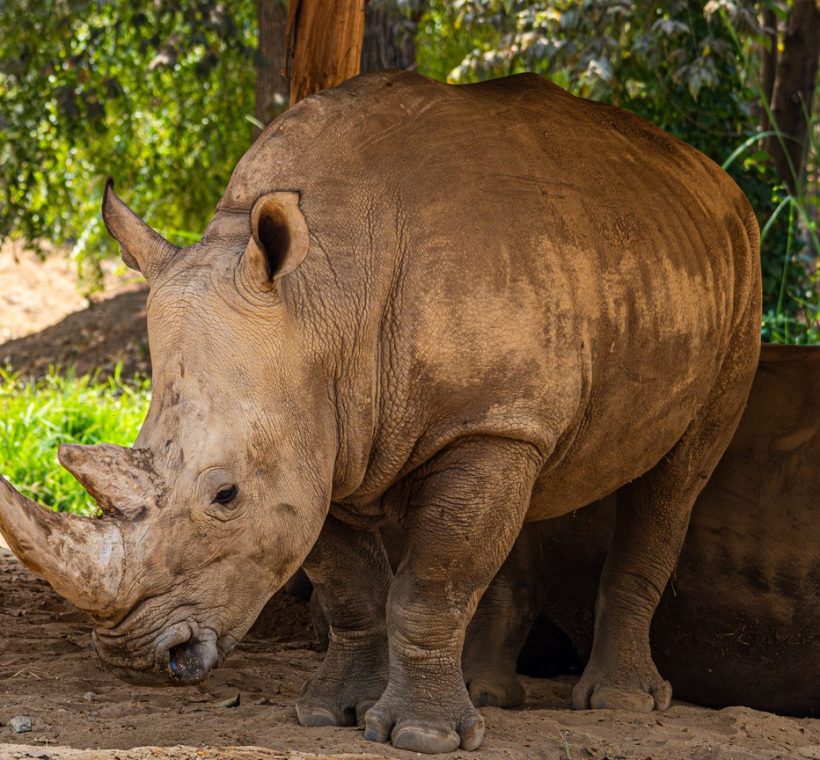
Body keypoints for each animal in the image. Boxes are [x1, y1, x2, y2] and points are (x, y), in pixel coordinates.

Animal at [0, 71, 760, 753]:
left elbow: (432, 582)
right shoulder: (321, 434)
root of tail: (708, 175)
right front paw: (330, 714)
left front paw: (423, 736)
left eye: (226, 496)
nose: (135, 659)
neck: (323, 298)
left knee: (677, 477)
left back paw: (620, 703)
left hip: (739, 275)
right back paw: (488, 695)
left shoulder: (469, 420)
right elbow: (351, 584)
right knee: (538, 473)